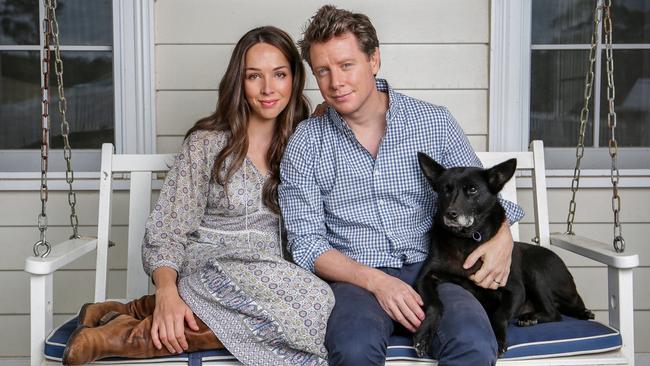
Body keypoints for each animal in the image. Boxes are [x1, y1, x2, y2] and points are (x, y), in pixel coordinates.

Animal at [412, 155, 588, 358]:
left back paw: (530, 318)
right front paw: (425, 335)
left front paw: (498, 338)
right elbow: (435, 305)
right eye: (445, 190)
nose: (450, 214)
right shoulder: (425, 278)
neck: (466, 239)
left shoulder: (516, 289)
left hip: (536, 270)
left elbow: (499, 315)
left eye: (473, 189)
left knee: (554, 313)